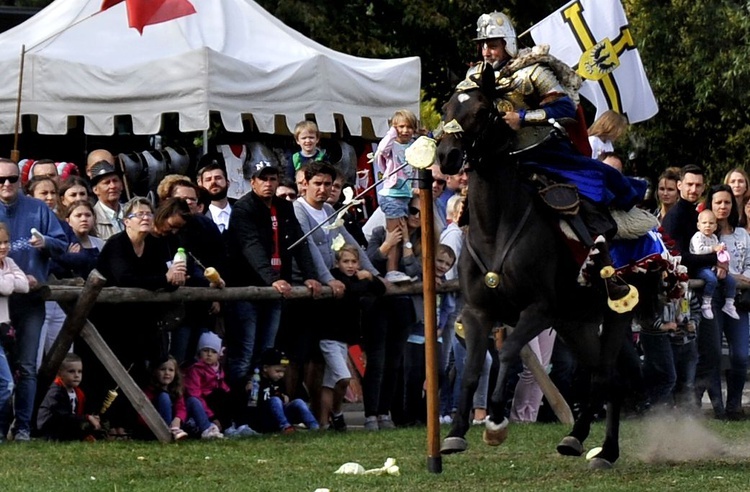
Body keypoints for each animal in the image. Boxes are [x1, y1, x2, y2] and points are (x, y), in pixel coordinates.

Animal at [438, 66, 648, 468]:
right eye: (447, 108)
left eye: (482, 110)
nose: (446, 156)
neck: (497, 228)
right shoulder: (477, 312)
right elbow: (472, 370)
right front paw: (455, 433)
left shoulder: (538, 310)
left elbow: (507, 352)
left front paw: (496, 422)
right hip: (575, 324)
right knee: (603, 376)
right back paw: (577, 439)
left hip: (614, 316)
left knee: (607, 378)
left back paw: (604, 451)